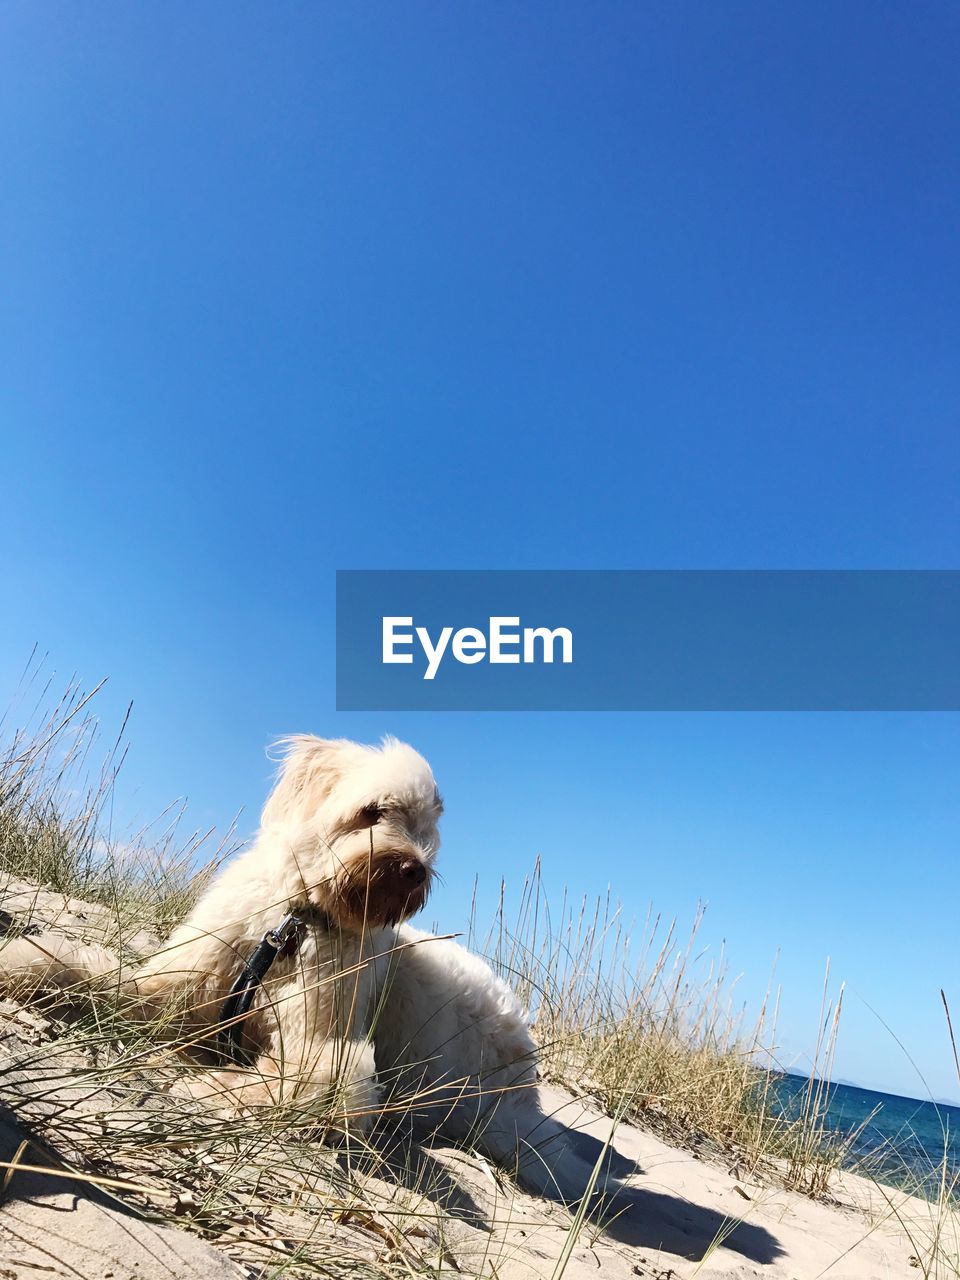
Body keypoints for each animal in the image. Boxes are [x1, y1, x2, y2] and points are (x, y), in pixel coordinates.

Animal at [0, 737, 611, 1203]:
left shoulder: (330, 1046)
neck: (299, 920)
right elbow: (92, 972)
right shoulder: (175, 987)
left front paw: (214, 1084)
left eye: (425, 828)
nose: (414, 871)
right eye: (374, 811)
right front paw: (25, 967)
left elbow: (304, 1084)